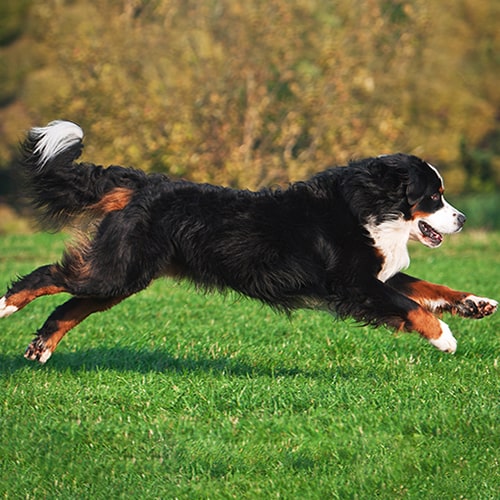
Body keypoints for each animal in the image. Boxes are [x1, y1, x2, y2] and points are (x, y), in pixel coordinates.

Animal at [0, 120, 496, 364]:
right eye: (433, 196)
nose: (463, 218)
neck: (368, 206)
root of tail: (143, 184)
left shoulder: (376, 274)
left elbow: (428, 290)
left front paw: (475, 303)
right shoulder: (354, 283)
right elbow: (410, 306)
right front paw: (445, 338)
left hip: (124, 277)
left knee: (70, 306)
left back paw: (41, 346)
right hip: (115, 272)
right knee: (48, 276)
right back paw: (5, 306)